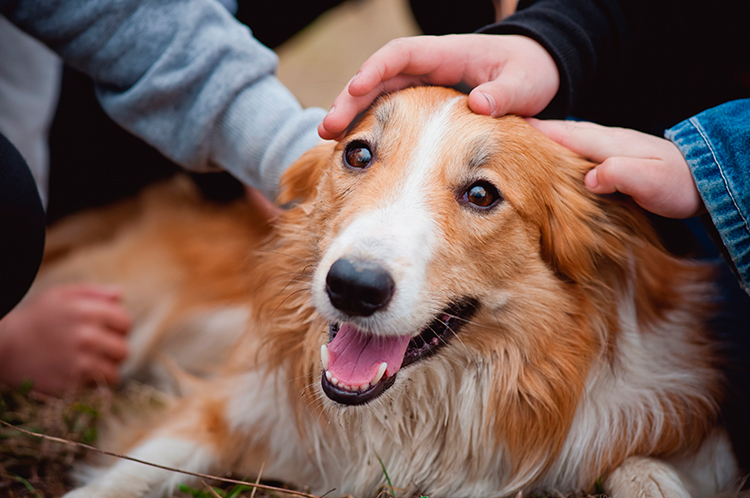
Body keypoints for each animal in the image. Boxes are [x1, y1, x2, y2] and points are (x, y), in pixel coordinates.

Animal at [42, 87, 740, 496]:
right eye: (357, 154)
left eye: (481, 193)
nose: (352, 287)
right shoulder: (232, 402)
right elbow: (121, 479)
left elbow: (644, 469)